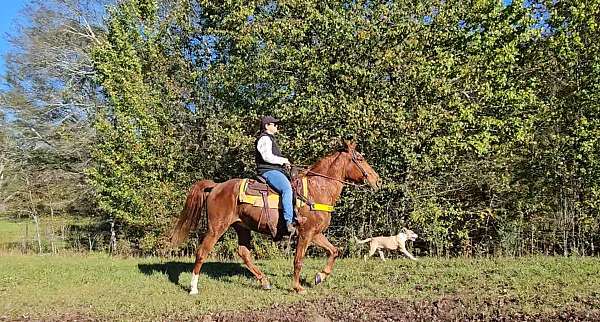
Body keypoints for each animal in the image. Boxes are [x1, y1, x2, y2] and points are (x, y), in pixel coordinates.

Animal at [169, 141, 380, 294]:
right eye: (360, 158)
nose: (377, 181)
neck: (317, 189)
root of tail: (216, 186)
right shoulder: (305, 234)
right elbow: (298, 261)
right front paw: (298, 287)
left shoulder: (316, 233)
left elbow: (334, 251)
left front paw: (320, 276)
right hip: (216, 228)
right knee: (202, 252)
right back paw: (193, 288)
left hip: (242, 227)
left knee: (243, 253)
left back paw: (264, 281)